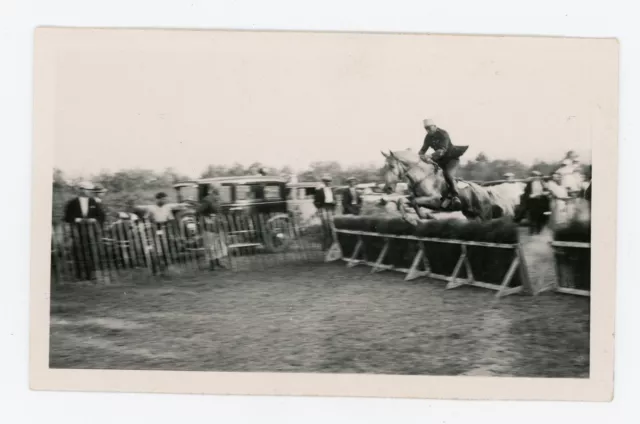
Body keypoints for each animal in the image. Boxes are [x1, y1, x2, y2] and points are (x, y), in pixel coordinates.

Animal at [382, 150, 512, 222]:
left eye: (392, 166)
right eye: (384, 167)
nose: (387, 188)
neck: (422, 177)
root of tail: (485, 191)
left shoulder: (434, 200)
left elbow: (414, 202)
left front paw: (425, 216)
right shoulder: (418, 198)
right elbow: (402, 201)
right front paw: (412, 218)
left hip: (484, 215)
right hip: (471, 216)